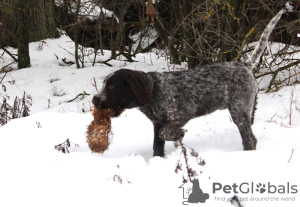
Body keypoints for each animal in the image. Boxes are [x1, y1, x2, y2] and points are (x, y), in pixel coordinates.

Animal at [93, 10, 284, 157]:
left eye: (112, 87)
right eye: (104, 84)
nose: (95, 100)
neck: (154, 91)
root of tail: (246, 65)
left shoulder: (184, 111)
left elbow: (166, 133)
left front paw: (179, 134)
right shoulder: (157, 123)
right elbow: (157, 146)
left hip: (239, 110)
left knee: (249, 139)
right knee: (252, 137)